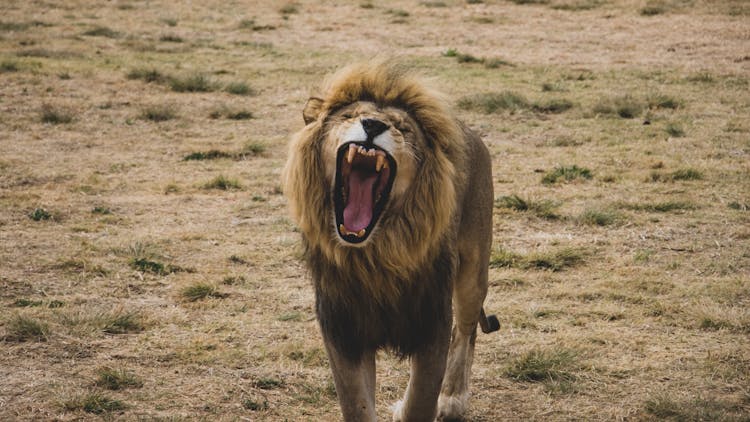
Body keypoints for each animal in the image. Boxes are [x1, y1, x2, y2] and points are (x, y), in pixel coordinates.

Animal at [284, 61, 500, 422]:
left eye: (403, 128)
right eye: (350, 116)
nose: (372, 124)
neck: (376, 255)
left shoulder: (431, 323)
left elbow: (420, 401)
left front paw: (429, 403)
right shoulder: (344, 331)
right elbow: (357, 405)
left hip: (473, 272)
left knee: (465, 331)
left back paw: (452, 399)